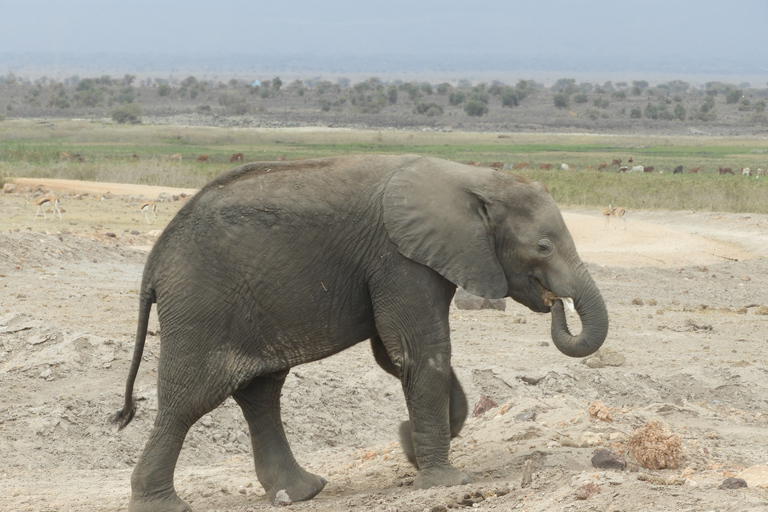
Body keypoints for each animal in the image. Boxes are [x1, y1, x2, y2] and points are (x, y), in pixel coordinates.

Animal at [111, 154, 608, 510]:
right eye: (542, 247)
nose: (555, 303)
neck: (474, 178)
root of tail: (154, 262)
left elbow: (395, 354)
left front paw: (410, 445)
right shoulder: (398, 258)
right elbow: (419, 352)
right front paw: (445, 480)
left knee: (260, 393)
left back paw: (304, 491)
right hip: (201, 307)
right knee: (189, 401)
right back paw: (163, 506)